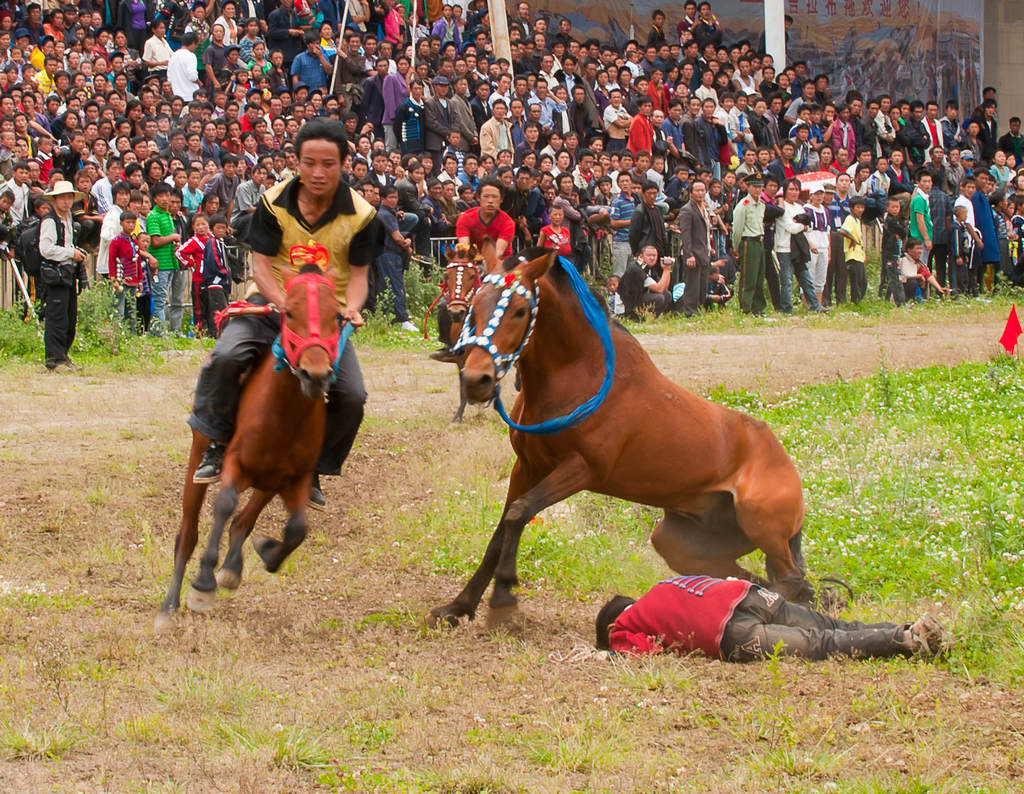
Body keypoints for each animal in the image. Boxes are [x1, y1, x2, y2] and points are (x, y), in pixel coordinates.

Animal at [155, 256, 346, 635]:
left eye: (336, 316)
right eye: (290, 313)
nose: (315, 375)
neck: (283, 412)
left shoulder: (294, 478)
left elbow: (296, 529)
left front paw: (266, 552)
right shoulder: (236, 464)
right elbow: (225, 505)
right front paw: (202, 585)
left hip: (268, 482)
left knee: (244, 521)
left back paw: (232, 567)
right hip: (200, 456)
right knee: (188, 533)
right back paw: (169, 606)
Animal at [428, 244, 811, 631]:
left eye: (521, 310)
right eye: (475, 306)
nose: (476, 380)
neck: (581, 375)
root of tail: (782, 459)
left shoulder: (583, 469)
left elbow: (519, 513)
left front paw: (503, 596)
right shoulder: (528, 467)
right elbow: (501, 530)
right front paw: (458, 606)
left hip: (761, 525)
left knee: (790, 581)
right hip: (680, 540)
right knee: (746, 577)